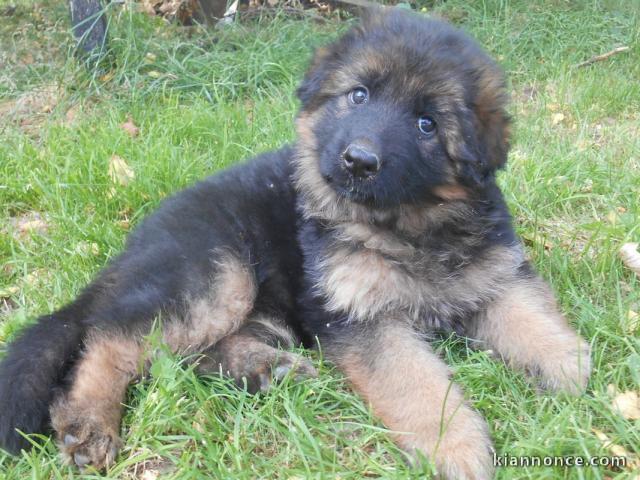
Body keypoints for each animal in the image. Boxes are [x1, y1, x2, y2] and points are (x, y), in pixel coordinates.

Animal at [0, 8, 592, 480]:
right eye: (359, 95)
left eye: (427, 123)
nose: (359, 160)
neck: (406, 226)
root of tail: (133, 250)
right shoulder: (360, 317)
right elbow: (415, 380)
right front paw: (456, 444)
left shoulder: (496, 271)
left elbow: (529, 314)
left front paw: (568, 366)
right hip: (215, 271)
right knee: (110, 339)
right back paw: (89, 422)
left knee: (185, 355)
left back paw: (266, 370)